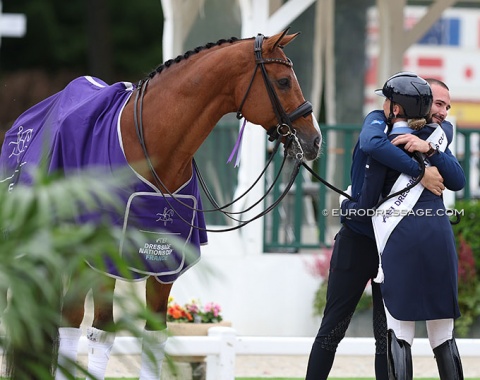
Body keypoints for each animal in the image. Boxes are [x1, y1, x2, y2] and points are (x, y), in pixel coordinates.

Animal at [1, 28, 322, 378]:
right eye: (283, 81)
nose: (314, 140)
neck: (153, 146)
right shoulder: (105, 258)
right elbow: (102, 332)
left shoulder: (165, 264)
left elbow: (154, 337)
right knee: (70, 325)